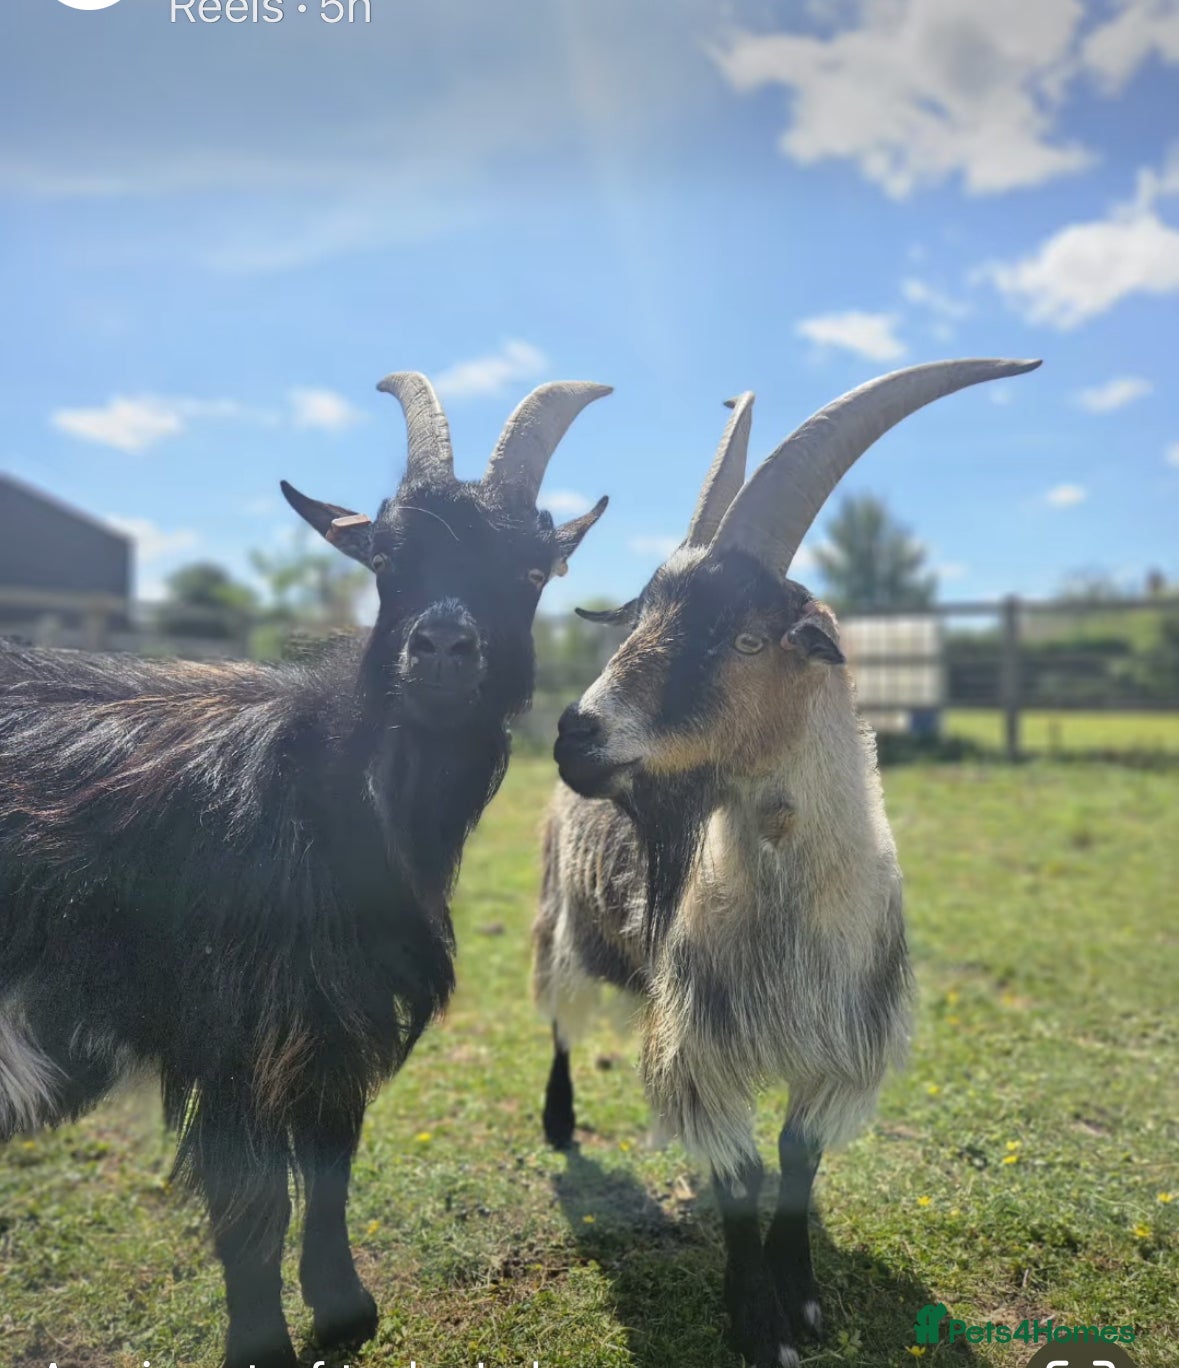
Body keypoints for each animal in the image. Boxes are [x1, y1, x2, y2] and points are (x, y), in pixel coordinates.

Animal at [0, 372, 610, 1368]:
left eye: (529, 571)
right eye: (386, 559)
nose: (441, 647)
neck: (325, 793)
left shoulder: (334, 1019)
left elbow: (328, 1170)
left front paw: (344, 1311)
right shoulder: (229, 1026)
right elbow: (252, 1202)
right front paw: (263, 1345)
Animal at [533, 358, 1041, 1368]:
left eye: (746, 637)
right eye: (639, 620)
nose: (577, 733)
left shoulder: (840, 1040)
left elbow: (797, 1160)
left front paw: (801, 1293)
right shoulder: (701, 1043)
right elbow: (737, 1173)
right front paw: (757, 1319)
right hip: (562, 921)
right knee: (560, 1020)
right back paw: (559, 1122)